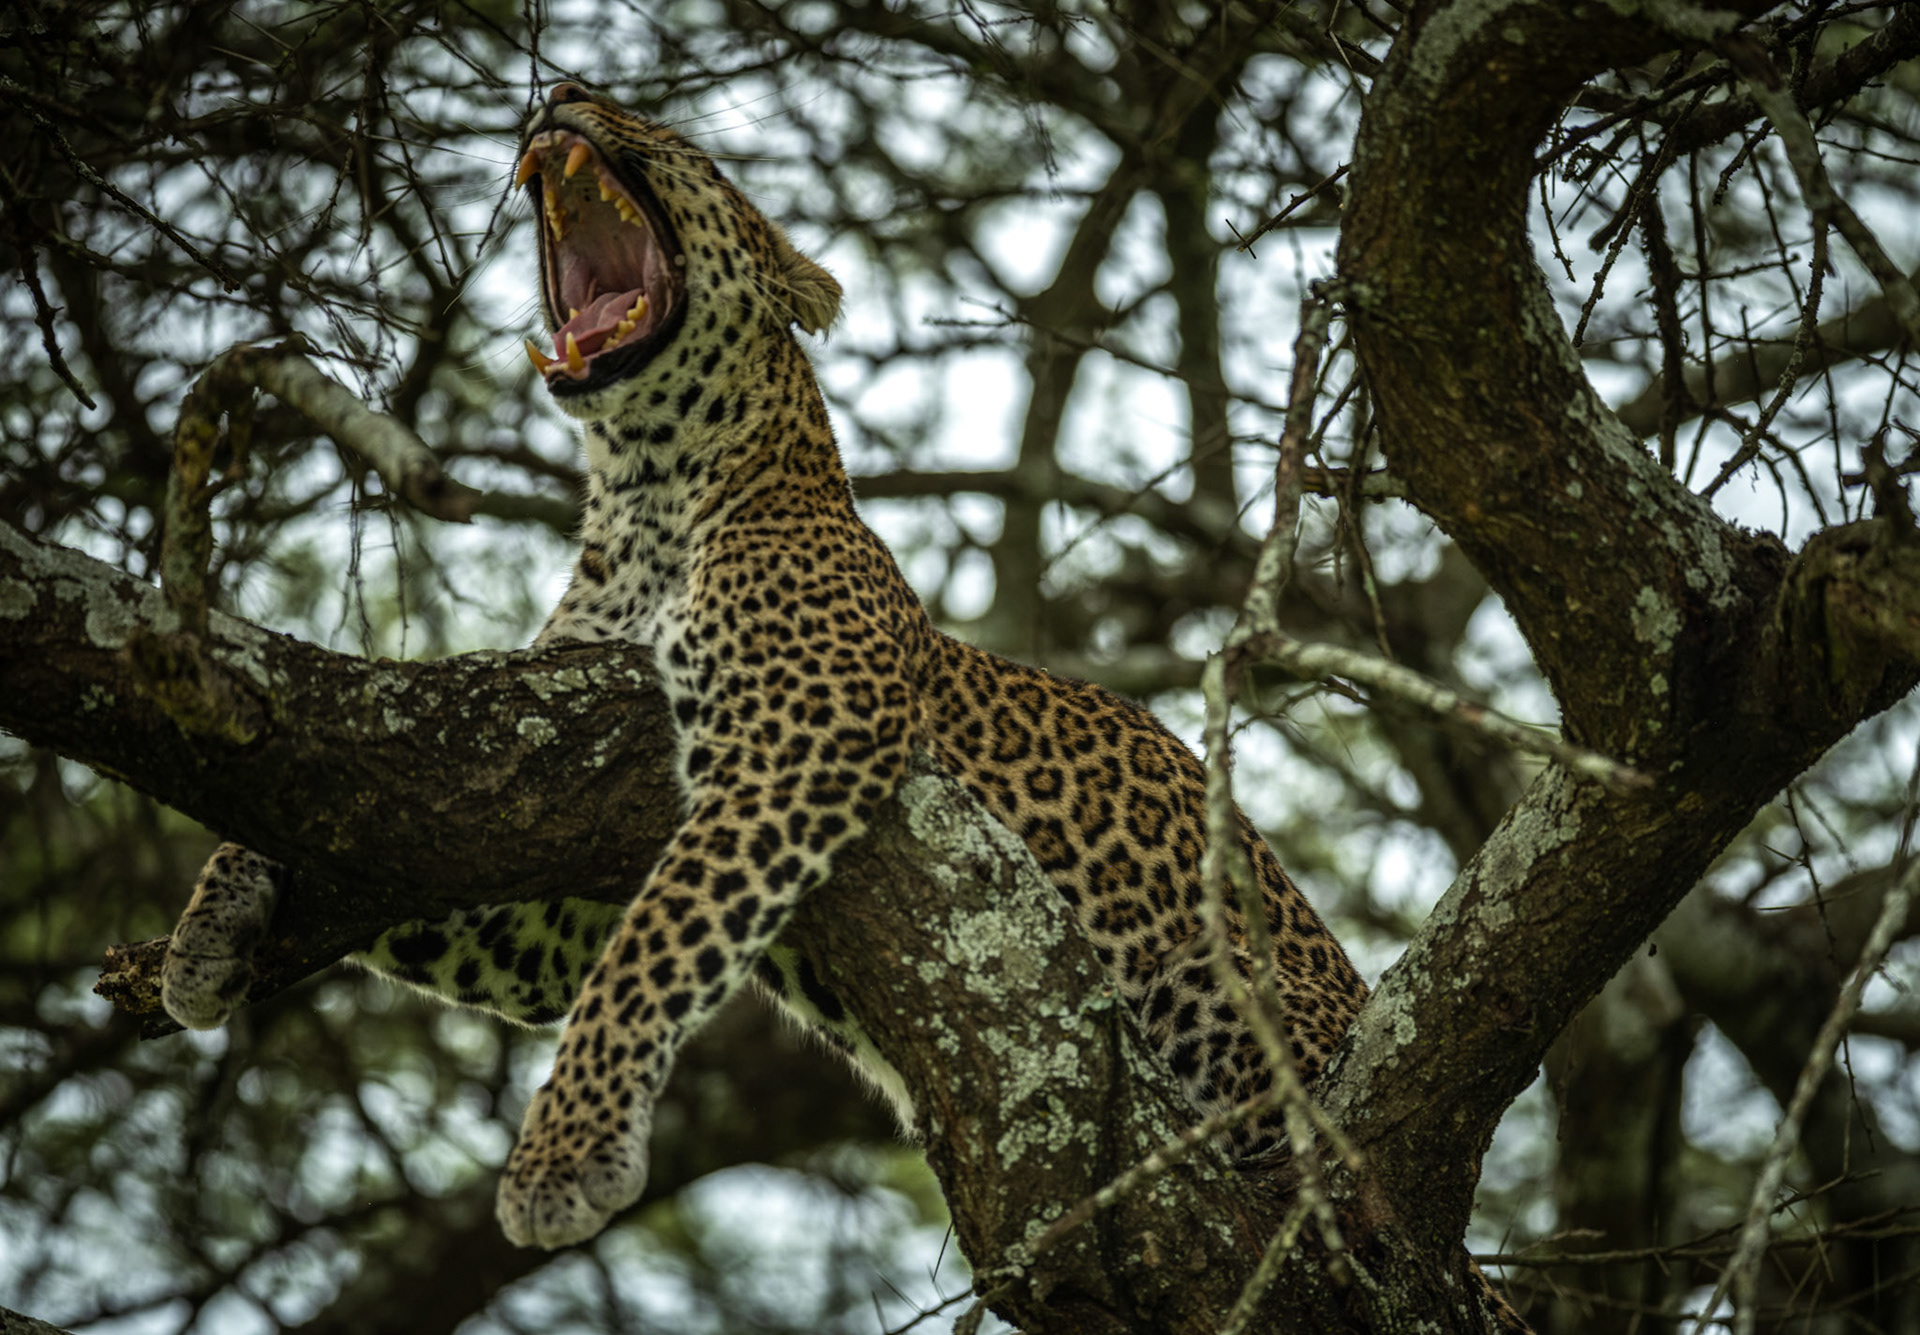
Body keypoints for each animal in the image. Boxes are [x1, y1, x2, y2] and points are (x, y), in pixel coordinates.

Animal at [162, 82, 1384, 1270]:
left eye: (681, 144)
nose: (558, 89)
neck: (641, 494)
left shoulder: (801, 738)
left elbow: (651, 950)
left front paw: (564, 1157)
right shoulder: (549, 876)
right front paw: (205, 930)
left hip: (1218, 986)